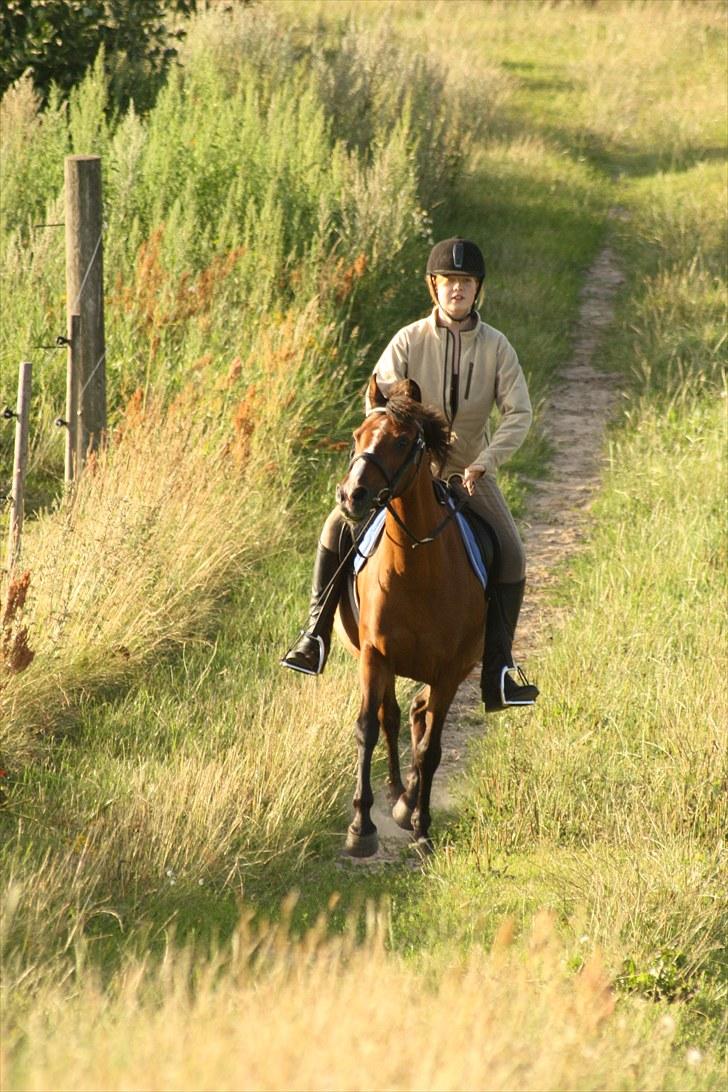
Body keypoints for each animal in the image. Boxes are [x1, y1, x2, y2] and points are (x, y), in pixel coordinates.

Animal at [338, 375, 488, 851]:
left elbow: (430, 747)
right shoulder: (374, 656)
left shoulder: (449, 670)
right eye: (358, 436)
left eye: (402, 441)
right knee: (394, 716)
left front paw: (421, 825)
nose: (352, 496)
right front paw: (360, 828)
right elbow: (368, 728)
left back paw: (407, 805)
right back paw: (394, 795)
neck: (416, 567)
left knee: (420, 717)